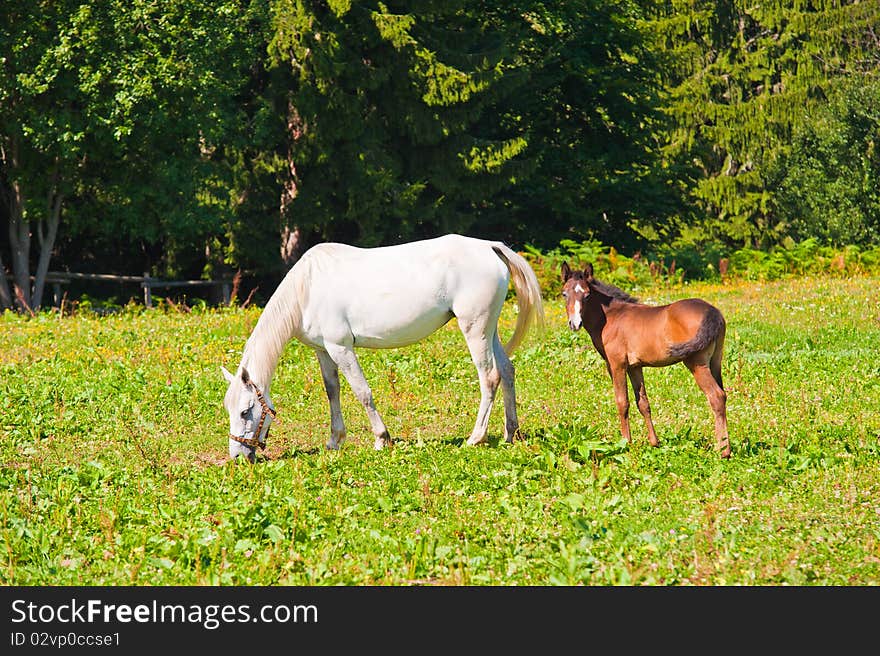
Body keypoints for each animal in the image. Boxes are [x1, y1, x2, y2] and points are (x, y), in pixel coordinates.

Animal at [220, 234, 544, 462]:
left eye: (246, 411)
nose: (238, 456)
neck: (307, 288)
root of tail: (489, 247)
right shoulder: (323, 351)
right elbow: (332, 391)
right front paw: (334, 441)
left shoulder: (341, 348)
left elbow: (362, 392)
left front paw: (381, 438)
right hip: (488, 330)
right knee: (507, 370)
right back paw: (511, 433)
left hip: (474, 330)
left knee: (489, 377)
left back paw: (476, 437)